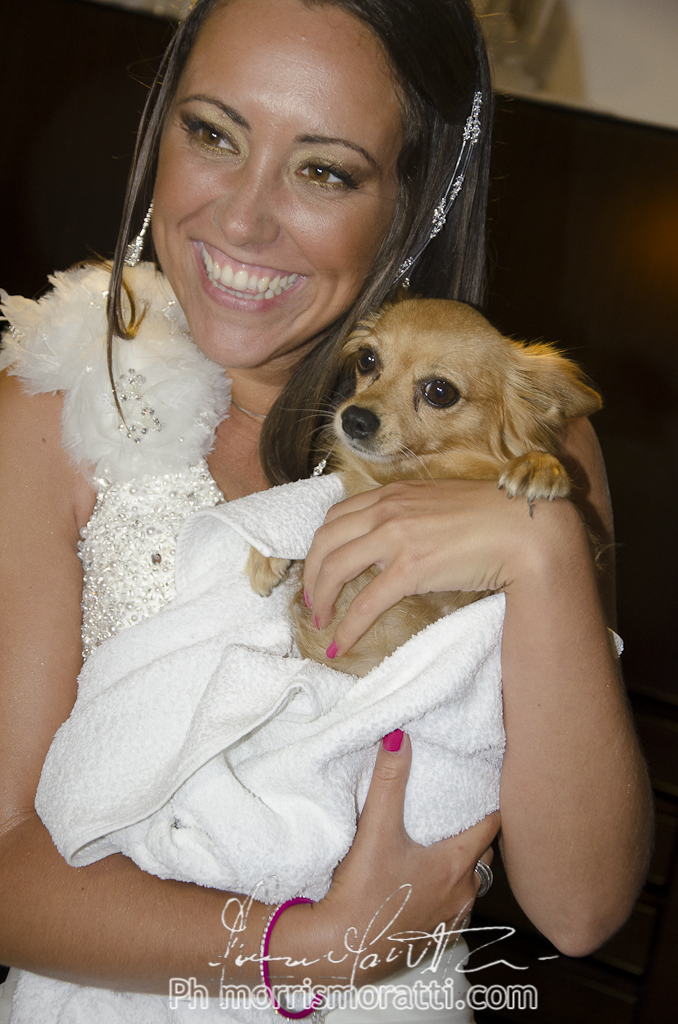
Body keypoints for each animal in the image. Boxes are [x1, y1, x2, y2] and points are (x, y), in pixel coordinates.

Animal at [247, 297, 602, 675]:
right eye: (366, 359)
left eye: (440, 392)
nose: (355, 418)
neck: (413, 472)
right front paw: (266, 555)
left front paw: (540, 466)